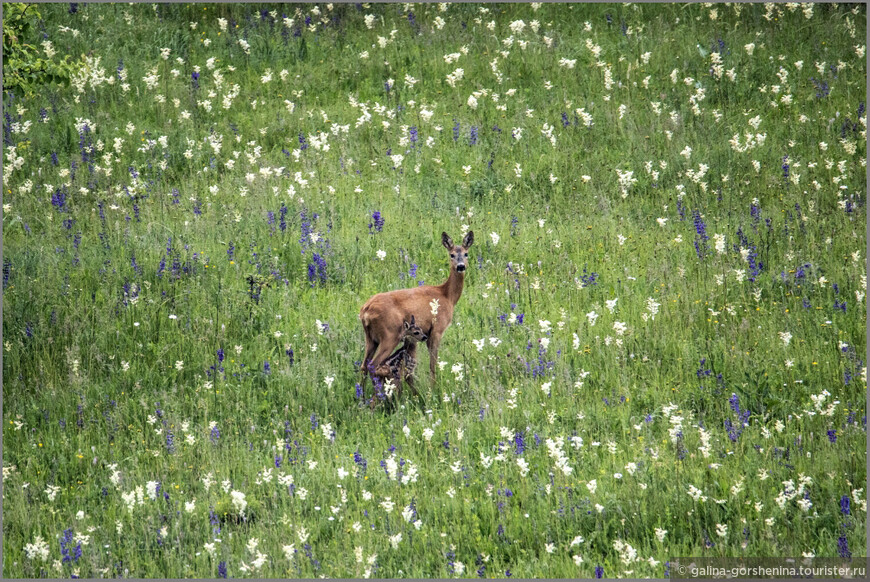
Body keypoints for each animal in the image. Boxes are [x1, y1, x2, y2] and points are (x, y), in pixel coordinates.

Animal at [360, 232, 476, 388]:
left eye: (466, 253)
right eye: (451, 254)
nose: (461, 266)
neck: (447, 296)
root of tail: (365, 311)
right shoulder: (437, 329)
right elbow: (433, 363)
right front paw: (433, 388)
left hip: (370, 338)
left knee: (364, 366)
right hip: (390, 335)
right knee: (373, 365)